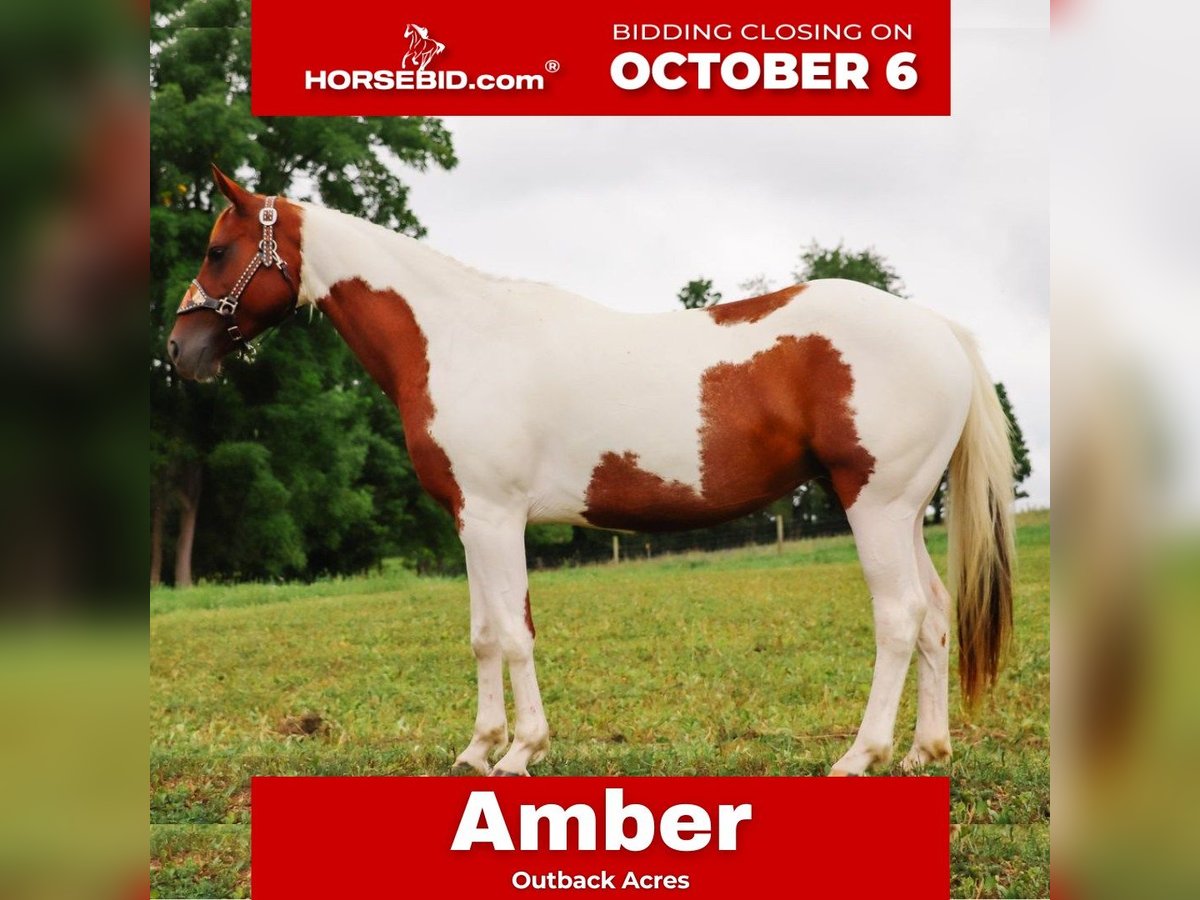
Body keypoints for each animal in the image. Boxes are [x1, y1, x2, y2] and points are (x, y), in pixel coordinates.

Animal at [168, 167, 1015, 777]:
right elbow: (484, 634)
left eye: (217, 251)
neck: (457, 337)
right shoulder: (470, 519)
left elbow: (514, 634)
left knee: (900, 618)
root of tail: (937, 328)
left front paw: (520, 751)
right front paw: (478, 748)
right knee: (936, 616)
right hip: (904, 513)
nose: (180, 350)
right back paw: (923, 753)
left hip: (874, 506)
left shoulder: (496, 516)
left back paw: (858, 757)